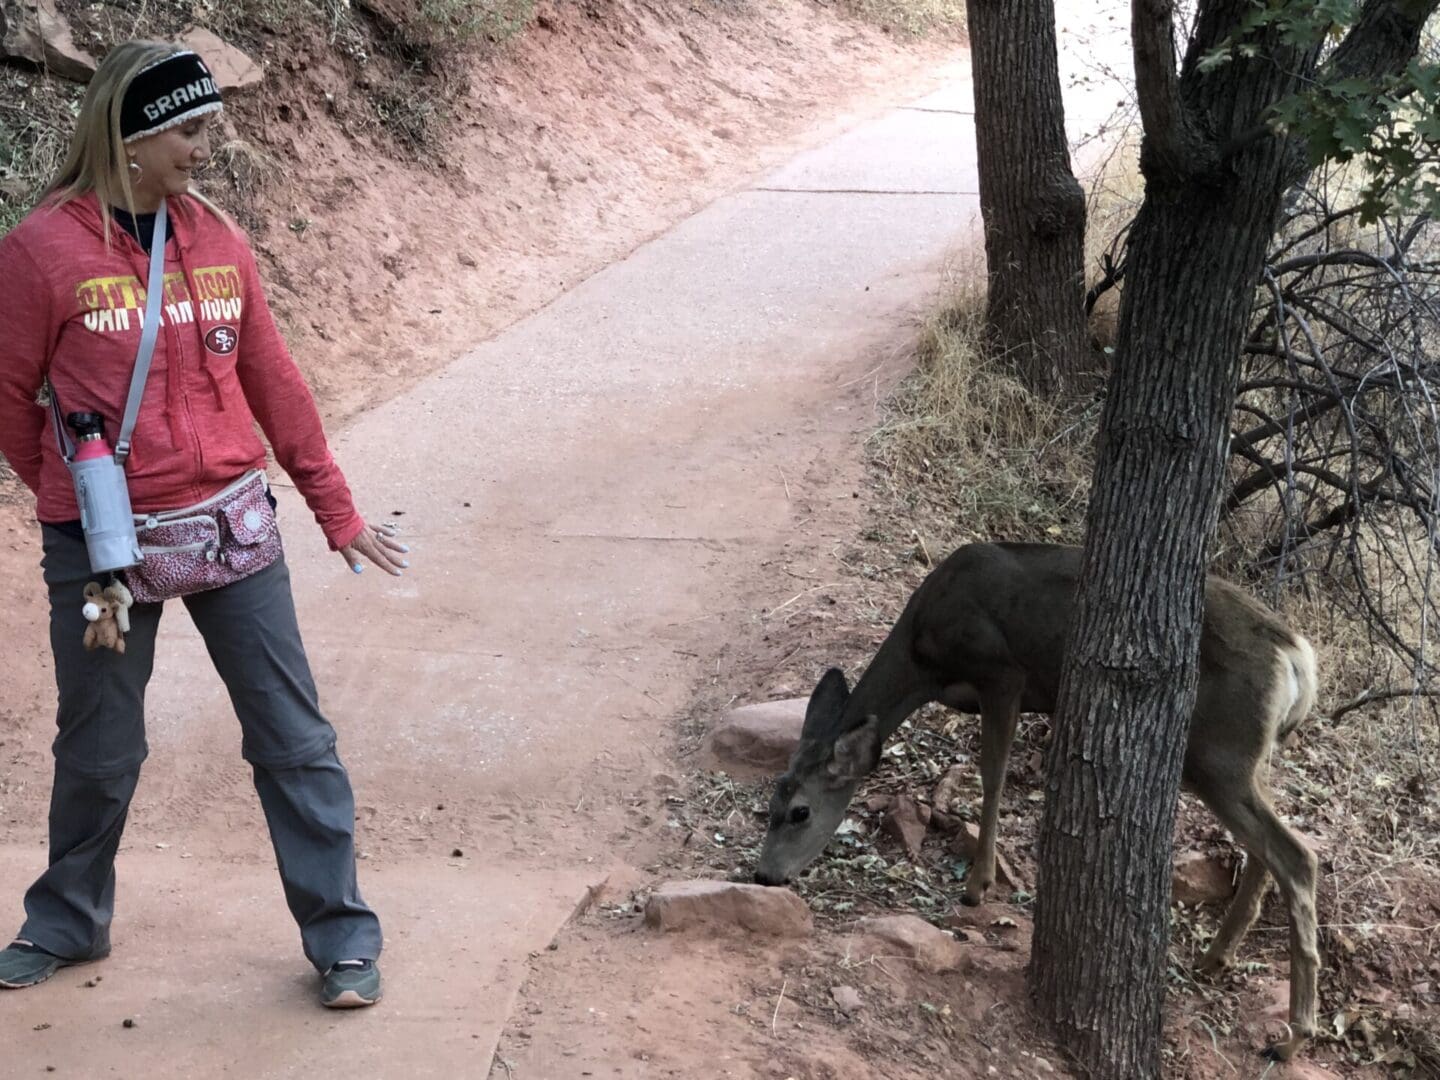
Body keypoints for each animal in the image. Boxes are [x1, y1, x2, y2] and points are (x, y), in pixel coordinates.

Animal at [754, 541, 1324, 1065]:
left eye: (800, 811)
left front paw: (977, 886)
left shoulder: (1002, 671)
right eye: (770, 802)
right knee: (1270, 845)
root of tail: (1298, 657)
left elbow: (993, 774)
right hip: (1245, 755)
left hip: (1218, 752)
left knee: (1296, 854)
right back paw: (1217, 959)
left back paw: (1292, 1037)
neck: (924, 656)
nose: (764, 875)